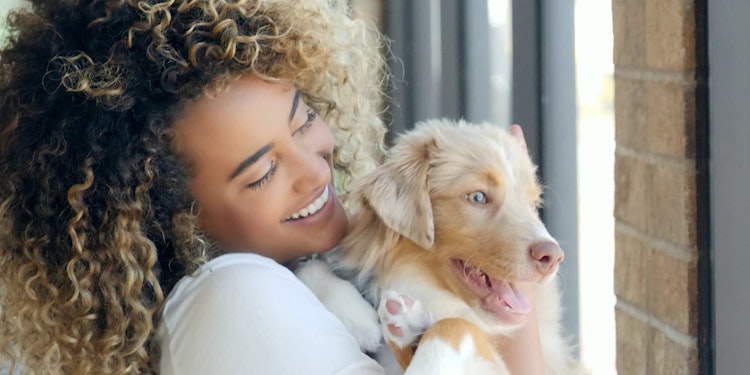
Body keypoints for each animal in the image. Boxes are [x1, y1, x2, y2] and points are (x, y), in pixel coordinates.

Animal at [302, 121, 584, 375]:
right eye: (477, 197)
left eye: (533, 204)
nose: (553, 257)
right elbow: (312, 264)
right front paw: (358, 315)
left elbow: (454, 325)